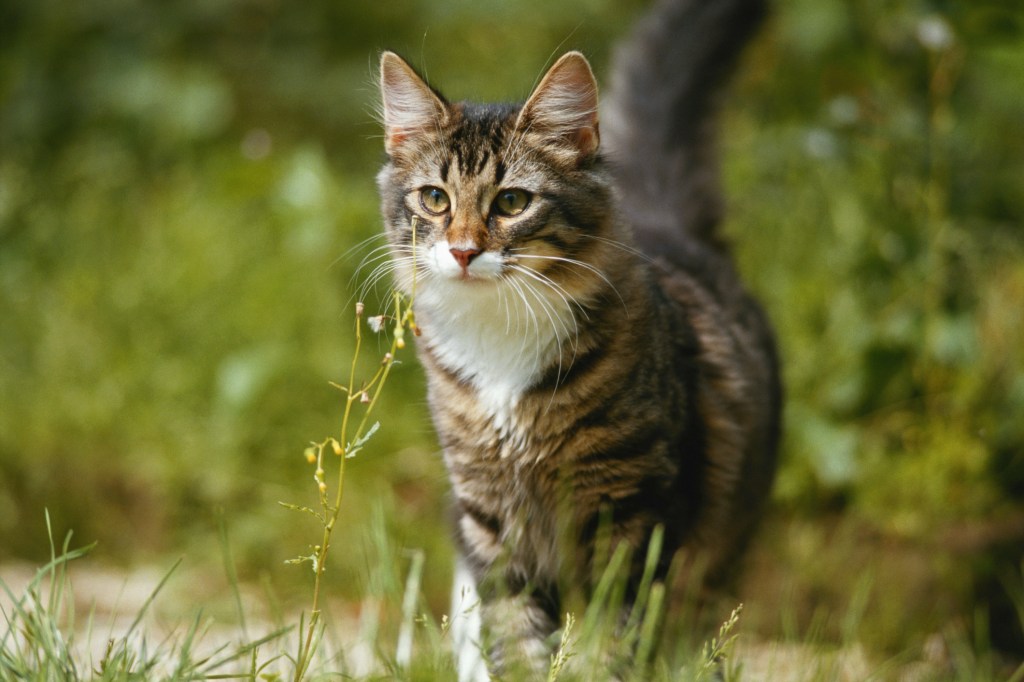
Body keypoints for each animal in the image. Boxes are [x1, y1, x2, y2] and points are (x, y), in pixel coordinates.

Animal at [372, 0, 778, 671]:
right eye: (434, 198)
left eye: (512, 202)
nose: (462, 251)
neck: (500, 342)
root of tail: (663, 220)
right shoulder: (493, 523)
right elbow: (518, 645)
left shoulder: (636, 517)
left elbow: (613, 644)